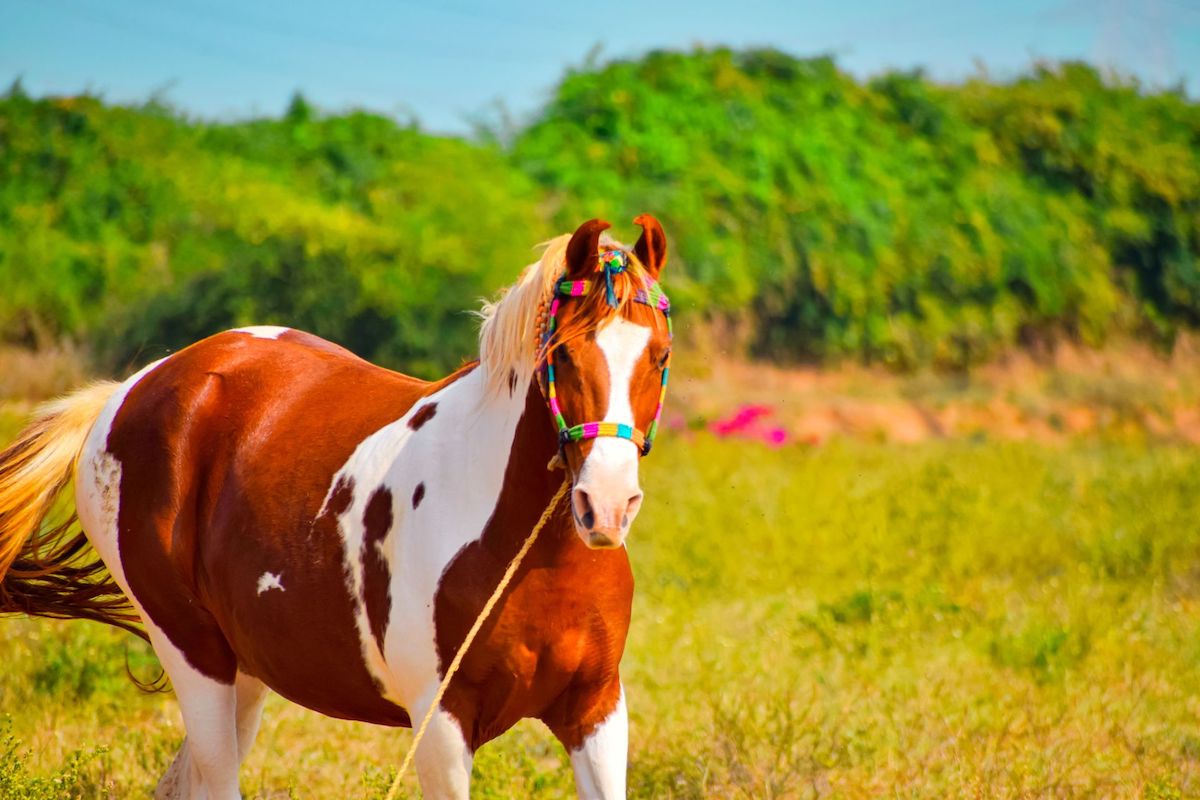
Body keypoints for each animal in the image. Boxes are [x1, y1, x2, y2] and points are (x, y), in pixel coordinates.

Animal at [0, 216, 673, 799]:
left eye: (660, 356)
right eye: (562, 355)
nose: (606, 506)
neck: (533, 559)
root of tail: (133, 387)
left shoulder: (595, 711)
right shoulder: (441, 724)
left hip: (245, 669)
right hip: (192, 653)